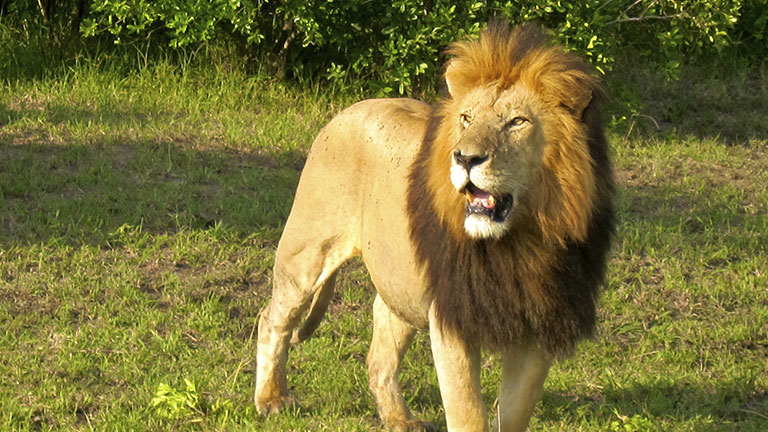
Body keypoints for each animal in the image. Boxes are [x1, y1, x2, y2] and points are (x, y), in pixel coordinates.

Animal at [255, 23, 616, 432]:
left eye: (517, 122)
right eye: (466, 119)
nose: (465, 158)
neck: (519, 242)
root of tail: (349, 109)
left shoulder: (539, 328)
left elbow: (514, 412)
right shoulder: (452, 322)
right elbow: (467, 414)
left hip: (401, 283)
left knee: (380, 354)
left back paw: (399, 419)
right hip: (306, 254)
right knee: (271, 321)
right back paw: (271, 400)